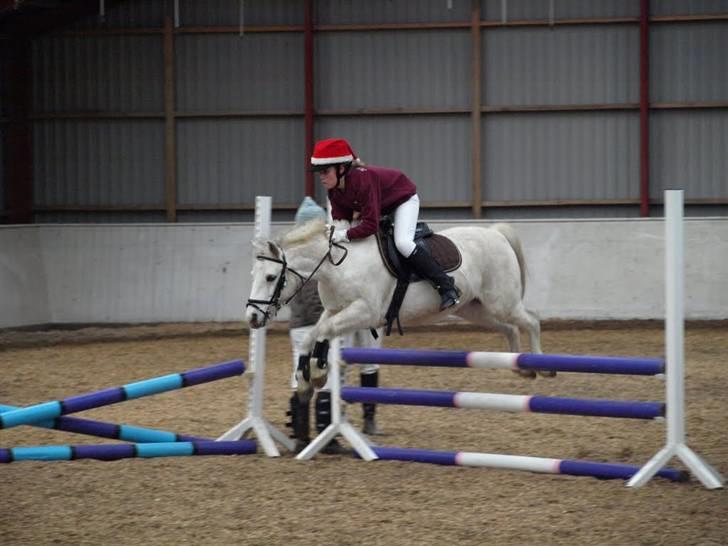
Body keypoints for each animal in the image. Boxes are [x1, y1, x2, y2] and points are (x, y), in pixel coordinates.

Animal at [245, 218, 546, 397]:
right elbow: (315, 333)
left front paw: (316, 373)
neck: (336, 265)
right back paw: (521, 367)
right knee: (509, 329)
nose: (252, 317)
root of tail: (495, 235)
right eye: (254, 275)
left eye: (270, 277)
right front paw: (308, 377)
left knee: (531, 321)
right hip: (476, 308)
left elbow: (323, 331)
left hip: (502, 302)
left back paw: (542, 367)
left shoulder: (365, 312)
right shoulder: (335, 310)